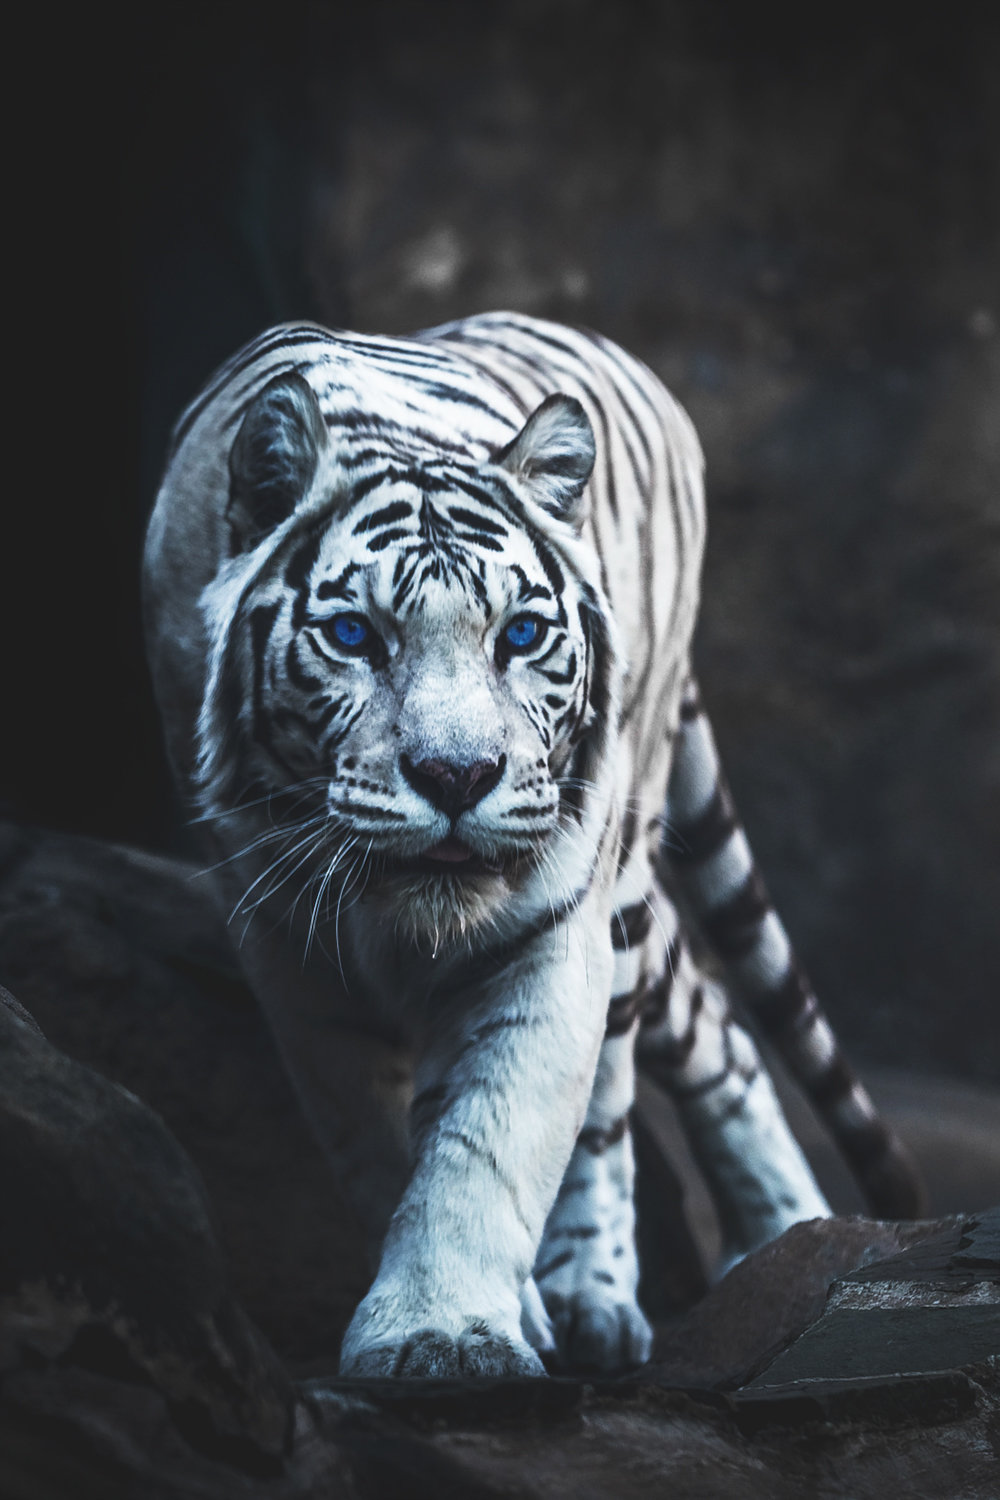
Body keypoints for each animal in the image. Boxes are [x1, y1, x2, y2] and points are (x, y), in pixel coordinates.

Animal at [143, 310, 924, 1379]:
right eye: (353, 637)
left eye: (518, 636)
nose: (456, 775)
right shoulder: (292, 952)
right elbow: (377, 1143)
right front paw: (451, 1323)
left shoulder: (551, 930)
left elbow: (486, 1142)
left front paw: (443, 1333)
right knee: (714, 1022)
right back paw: (779, 1243)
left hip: (623, 870)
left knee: (632, 1081)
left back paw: (659, 1283)